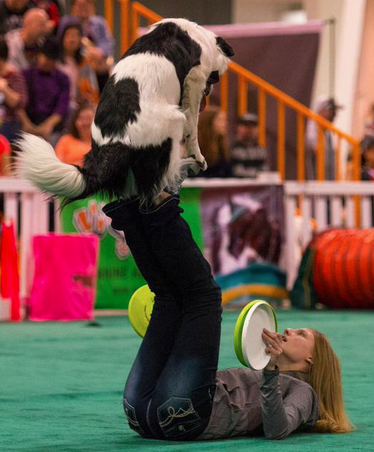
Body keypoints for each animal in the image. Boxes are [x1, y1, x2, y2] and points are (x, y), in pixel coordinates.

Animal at [18, 18, 234, 206]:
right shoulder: (194, 80)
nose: (210, 90)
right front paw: (198, 157)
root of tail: (116, 143)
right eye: (215, 77)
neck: (197, 36)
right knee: (158, 181)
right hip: (172, 124)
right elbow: (193, 129)